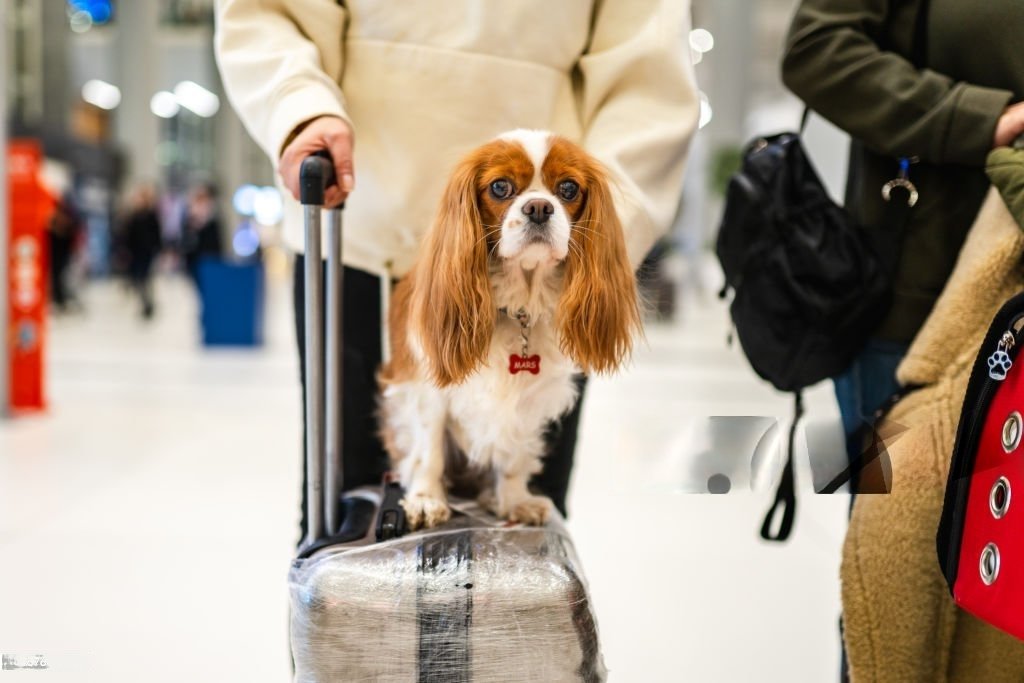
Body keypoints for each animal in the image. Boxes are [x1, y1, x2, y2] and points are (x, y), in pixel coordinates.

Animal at [376, 132, 638, 528]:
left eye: (568, 188)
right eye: (500, 187)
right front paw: (425, 498)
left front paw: (514, 500)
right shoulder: (425, 388)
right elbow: (428, 450)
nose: (539, 208)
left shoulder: (529, 398)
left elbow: (513, 454)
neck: (519, 306)